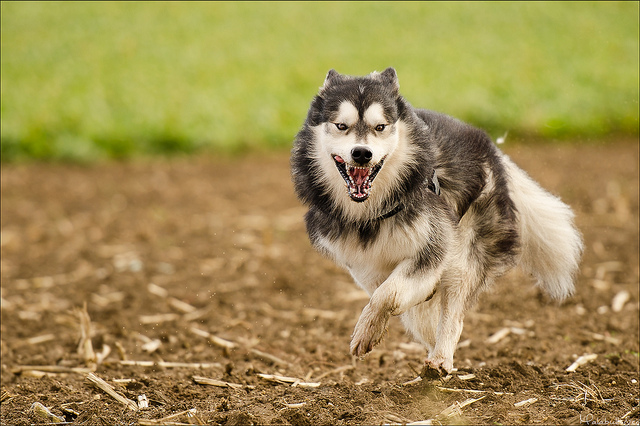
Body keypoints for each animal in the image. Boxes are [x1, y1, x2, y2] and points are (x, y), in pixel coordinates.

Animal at [292, 67, 584, 376]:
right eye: (341, 126)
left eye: (380, 127)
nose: (361, 153)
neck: (372, 212)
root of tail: (490, 147)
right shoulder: (365, 265)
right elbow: (387, 294)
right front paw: (376, 326)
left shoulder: (432, 247)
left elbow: (387, 296)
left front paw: (366, 331)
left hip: (465, 254)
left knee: (453, 314)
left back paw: (440, 359)